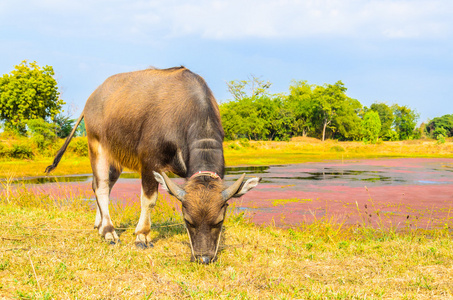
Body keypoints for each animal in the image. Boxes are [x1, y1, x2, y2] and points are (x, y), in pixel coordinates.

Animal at [45, 67, 260, 264]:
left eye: (220, 220)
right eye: (187, 220)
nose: (204, 258)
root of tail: (92, 99)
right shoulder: (149, 163)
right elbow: (149, 200)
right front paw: (142, 236)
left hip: (116, 158)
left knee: (98, 185)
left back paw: (98, 225)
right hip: (97, 145)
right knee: (102, 187)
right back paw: (108, 232)